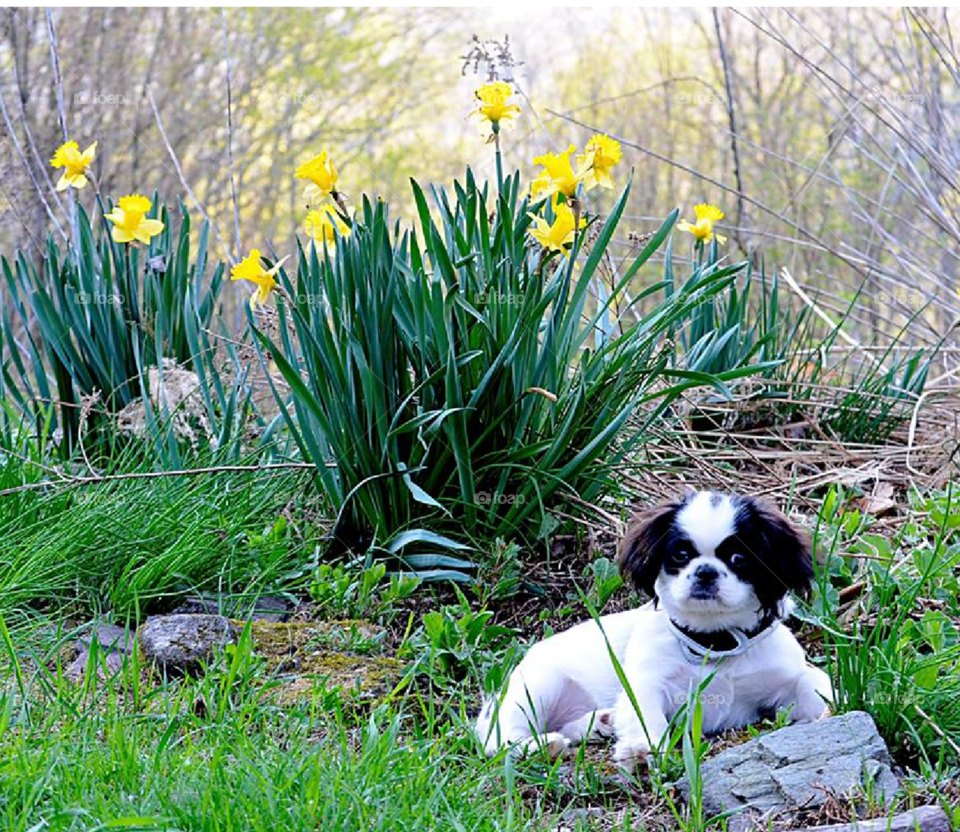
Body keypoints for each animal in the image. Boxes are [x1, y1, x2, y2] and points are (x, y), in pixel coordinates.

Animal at [478, 490, 832, 764]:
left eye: (738, 558)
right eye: (680, 555)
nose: (705, 571)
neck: (714, 642)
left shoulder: (785, 676)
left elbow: (816, 684)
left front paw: (829, 714)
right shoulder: (647, 681)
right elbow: (644, 713)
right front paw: (641, 749)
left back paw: (600, 722)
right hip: (538, 686)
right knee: (498, 740)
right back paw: (539, 746)